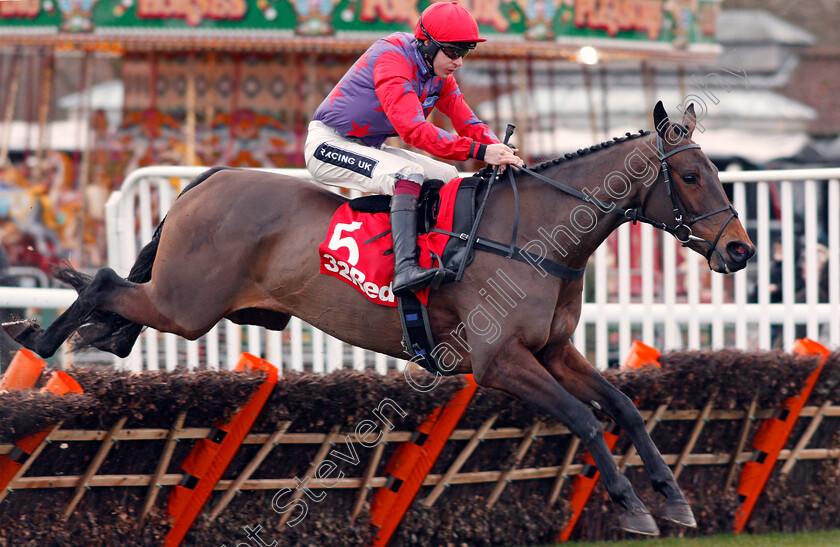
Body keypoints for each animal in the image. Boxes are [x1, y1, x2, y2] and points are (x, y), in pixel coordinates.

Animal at [4, 101, 756, 536]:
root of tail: (209, 178)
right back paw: (36, 339)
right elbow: (582, 418)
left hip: (184, 305)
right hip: (185, 306)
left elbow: (624, 408)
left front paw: (673, 498)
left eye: (719, 171)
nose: (740, 250)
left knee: (111, 296)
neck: (536, 233)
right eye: (692, 176)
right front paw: (632, 507)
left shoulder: (554, 352)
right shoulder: (501, 362)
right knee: (104, 283)